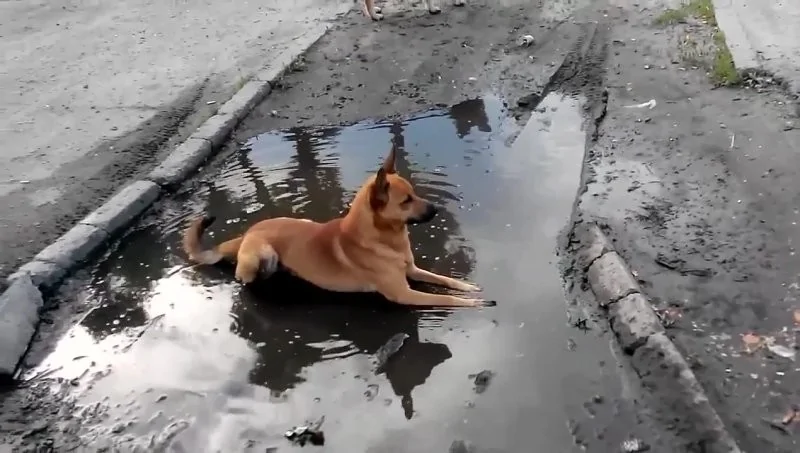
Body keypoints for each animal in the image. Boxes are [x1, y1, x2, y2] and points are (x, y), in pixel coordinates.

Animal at [182, 147, 494, 308]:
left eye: (414, 194)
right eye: (406, 201)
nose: (436, 210)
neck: (384, 238)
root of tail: (248, 232)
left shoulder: (413, 271)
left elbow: (443, 280)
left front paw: (466, 285)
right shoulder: (403, 294)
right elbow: (448, 299)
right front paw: (474, 302)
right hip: (260, 256)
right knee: (245, 278)